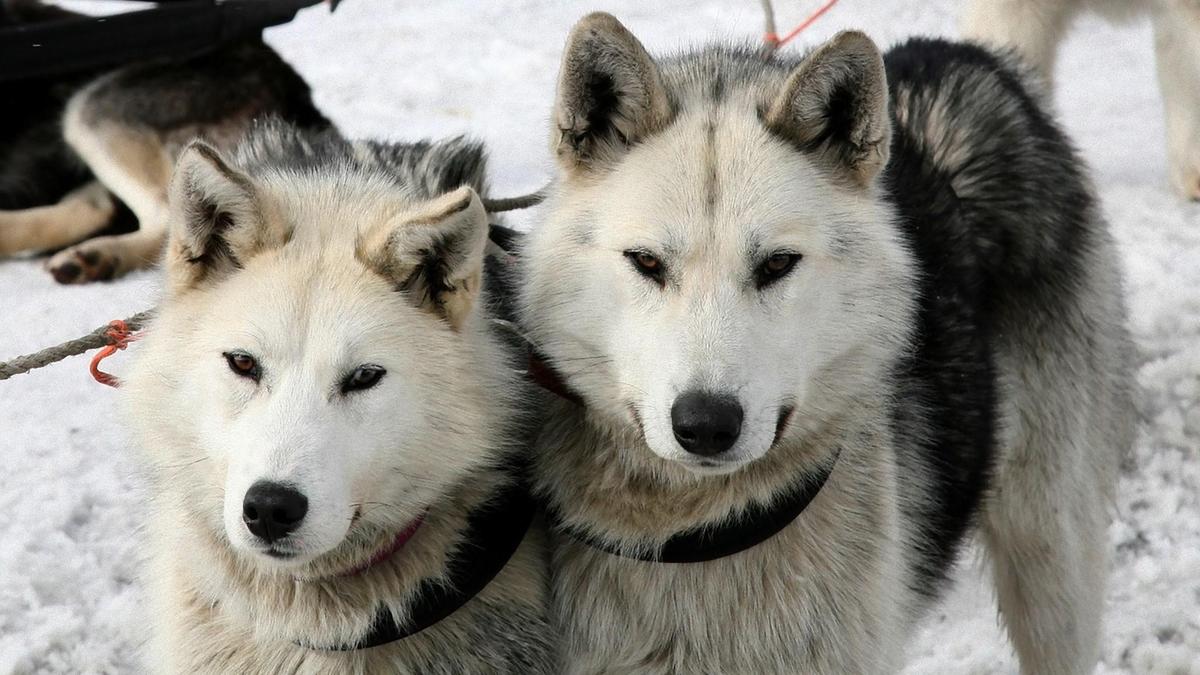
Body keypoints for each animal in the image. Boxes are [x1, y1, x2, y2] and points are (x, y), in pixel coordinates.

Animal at [518, 11, 1132, 672]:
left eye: (777, 264)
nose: (706, 424)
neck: (696, 536)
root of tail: (964, 55)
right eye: (647, 262)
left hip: (1049, 558)